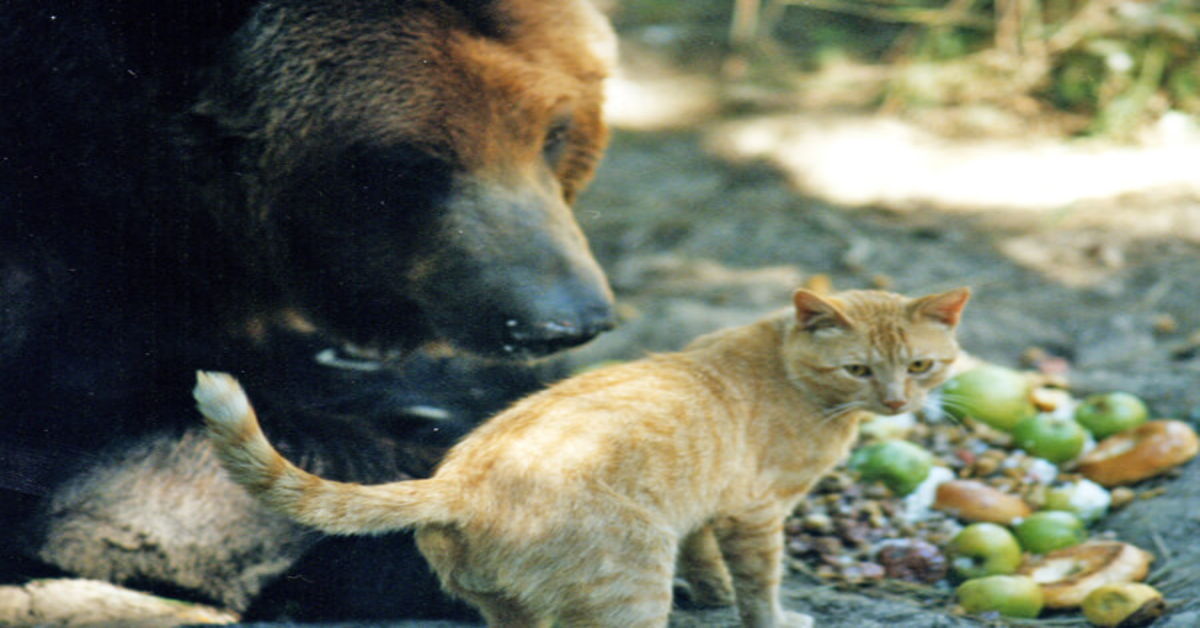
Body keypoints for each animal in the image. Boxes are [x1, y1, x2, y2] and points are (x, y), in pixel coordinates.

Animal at [194, 286, 964, 624]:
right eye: (859, 370)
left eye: (921, 365)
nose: (898, 401)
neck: (785, 368)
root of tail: (457, 480)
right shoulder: (757, 514)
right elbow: (761, 588)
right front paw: (769, 616)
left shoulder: (705, 509)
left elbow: (708, 562)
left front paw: (712, 595)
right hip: (629, 590)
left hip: (509, 612)